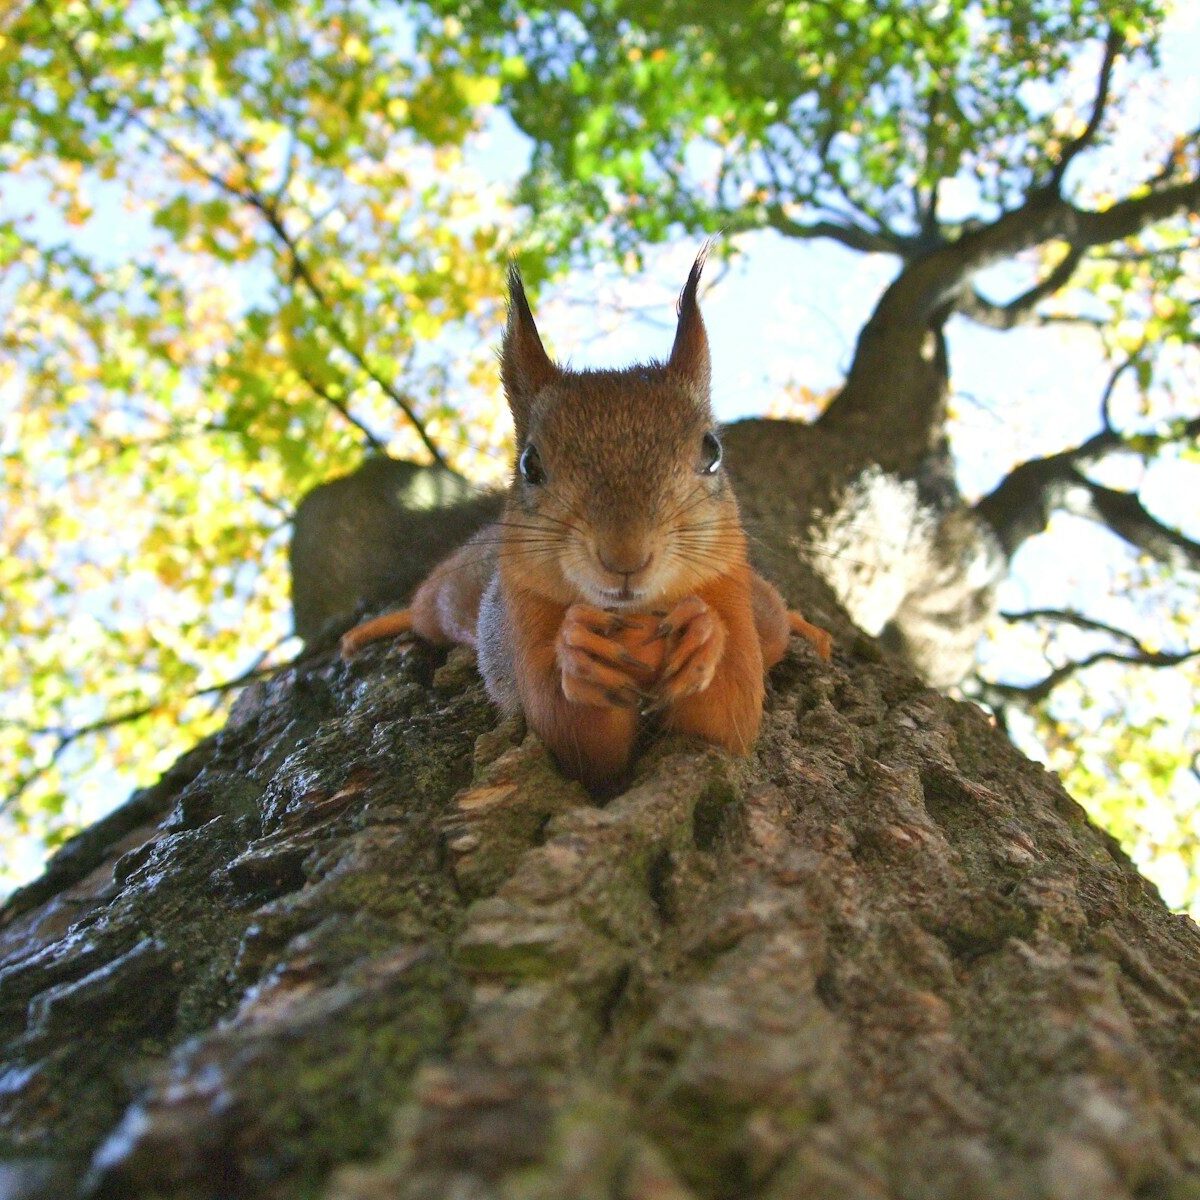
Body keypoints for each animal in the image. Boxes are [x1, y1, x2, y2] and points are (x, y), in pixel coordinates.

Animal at [340, 250, 832, 788]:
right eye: (530, 465)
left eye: (712, 452)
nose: (625, 557)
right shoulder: (523, 618)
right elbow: (576, 739)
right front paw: (578, 653)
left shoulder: (730, 593)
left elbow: (729, 719)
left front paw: (703, 634)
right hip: (450, 598)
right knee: (423, 610)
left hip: (762, 609)